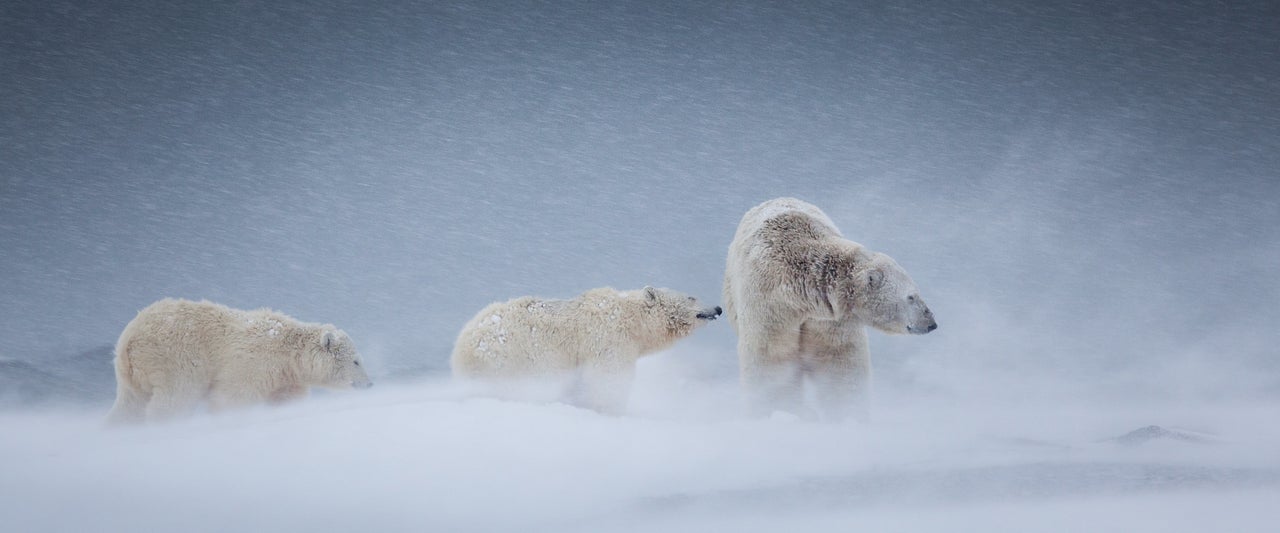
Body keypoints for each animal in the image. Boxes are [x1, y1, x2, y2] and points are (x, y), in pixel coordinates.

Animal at [104, 299, 371, 425]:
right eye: (356, 361)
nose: (369, 384)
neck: (288, 351)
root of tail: (131, 339)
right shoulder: (253, 363)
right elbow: (232, 397)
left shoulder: (286, 377)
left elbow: (285, 400)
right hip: (175, 357)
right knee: (175, 398)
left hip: (130, 375)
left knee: (129, 406)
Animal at [455, 285, 727, 415]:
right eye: (692, 297)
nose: (717, 308)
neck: (631, 319)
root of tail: (463, 345)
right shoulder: (608, 338)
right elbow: (607, 378)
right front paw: (610, 410)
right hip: (511, 355)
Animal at [721, 197, 942, 422]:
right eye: (911, 296)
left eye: (916, 292)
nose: (931, 322)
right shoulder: (770, 301)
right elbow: (772, 355)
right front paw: (778, 411)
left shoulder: (830, 317)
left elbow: (837, 359)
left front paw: (847, 415)